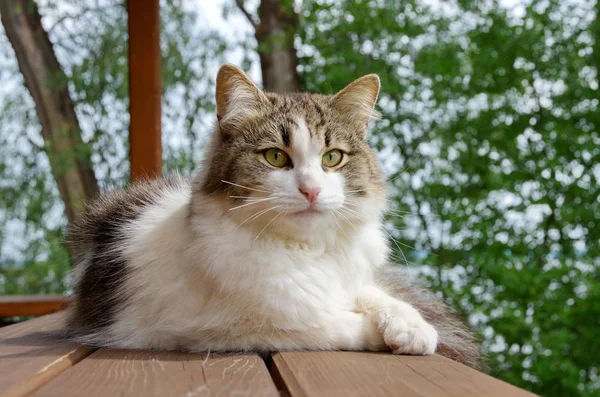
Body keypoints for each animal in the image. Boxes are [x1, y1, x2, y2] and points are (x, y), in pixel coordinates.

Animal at [64, 63, 482, 366]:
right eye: (276, 157)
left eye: (333, 158)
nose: (311, 189)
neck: (303, 252)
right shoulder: (220, 329)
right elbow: (329, 324)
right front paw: (379, 334)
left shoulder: (344, 278)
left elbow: (374, 294)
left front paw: (413, 327)